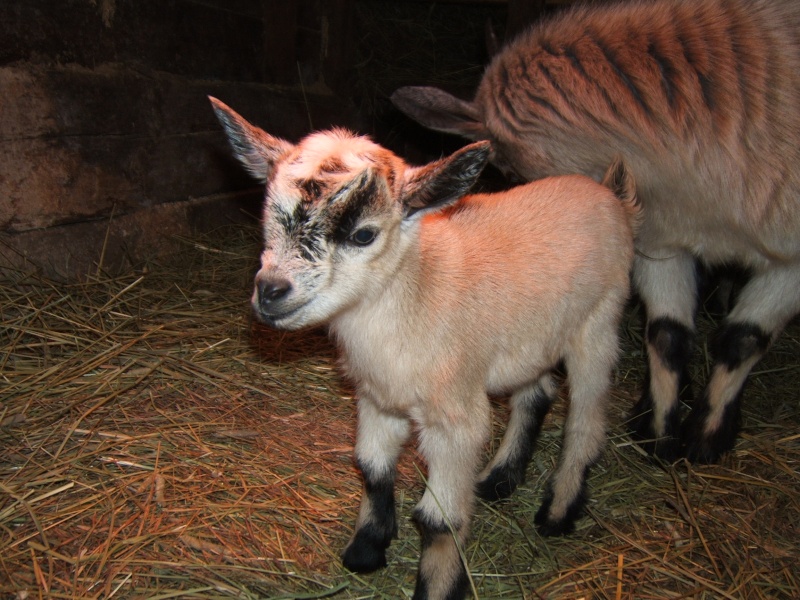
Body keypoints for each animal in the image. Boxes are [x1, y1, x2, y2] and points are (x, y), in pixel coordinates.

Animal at [211, 98, 636, 600]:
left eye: (363, 234)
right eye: (269, 217)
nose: (271, 292)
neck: (414, 287)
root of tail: (610, 194)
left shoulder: (455, 421)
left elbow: (439, 521)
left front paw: (436, 585)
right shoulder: (378, 398)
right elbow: (371, 468)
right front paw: (366, 549)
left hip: (599, 322)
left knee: (586, 418)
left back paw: (558, 511)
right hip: (530, 336)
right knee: (536, 393)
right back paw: (498, 479)